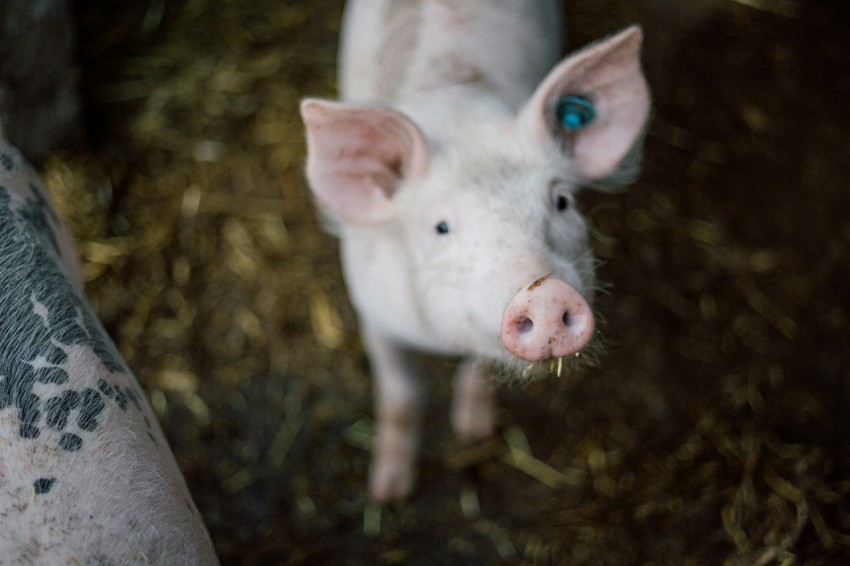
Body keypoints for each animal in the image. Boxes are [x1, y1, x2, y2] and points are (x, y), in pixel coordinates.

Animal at [300, 0, 650, 502]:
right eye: (441, 227)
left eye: (562, 202)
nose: (546, 294)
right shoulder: (373, 314)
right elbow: (400, 398)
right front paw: (389, 491)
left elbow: (479, 369)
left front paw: (473, 432)